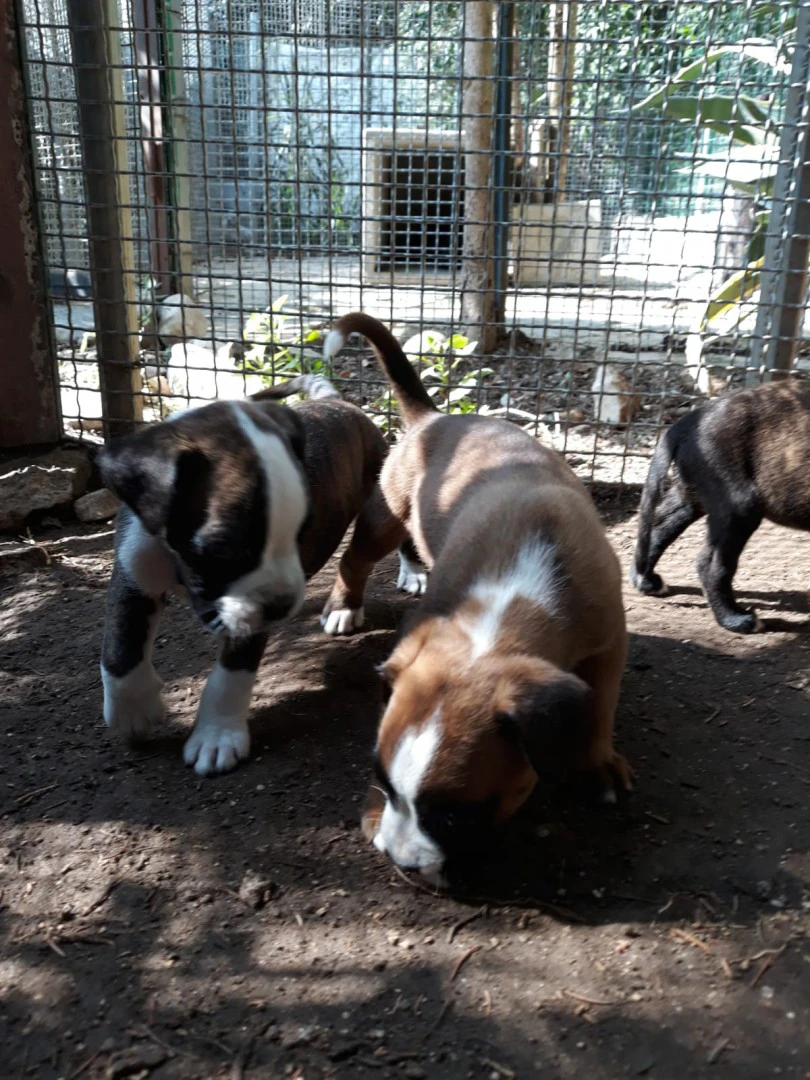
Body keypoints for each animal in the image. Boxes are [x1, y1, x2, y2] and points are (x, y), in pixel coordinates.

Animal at [98, 375, 390, 773]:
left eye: (302, 532)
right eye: (223, 548)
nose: (282, 604)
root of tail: (339, 402)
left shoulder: (249, 616)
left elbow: (231, 677)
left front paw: (217, 735)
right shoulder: (134, 574)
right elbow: (120, 645)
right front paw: (133, 709)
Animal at [319, 315, 635, 885]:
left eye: (452, 816)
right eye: (381, 778)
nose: (396, 858)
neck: (511, 598)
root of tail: (434, 417)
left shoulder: (609, 642)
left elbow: (602, 703)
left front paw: (596, 763)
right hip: (384, 513)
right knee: (355, 559)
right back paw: (343, 606)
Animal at [635, 380, 810, 630]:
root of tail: (692, 418)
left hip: (695, 496)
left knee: (659, 525)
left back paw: (647, 581)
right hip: (739, 505)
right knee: (710, 564)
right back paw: (736, 619)